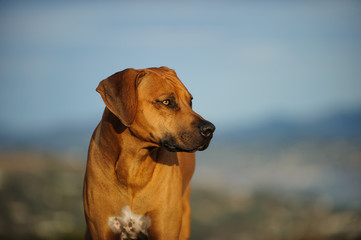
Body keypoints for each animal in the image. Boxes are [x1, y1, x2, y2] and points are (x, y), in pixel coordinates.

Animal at [83, 66, 215, 239]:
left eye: (190, 101)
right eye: (167, 102)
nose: (210, 129)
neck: (133, 168)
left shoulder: (164, 229)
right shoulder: (101, 230)